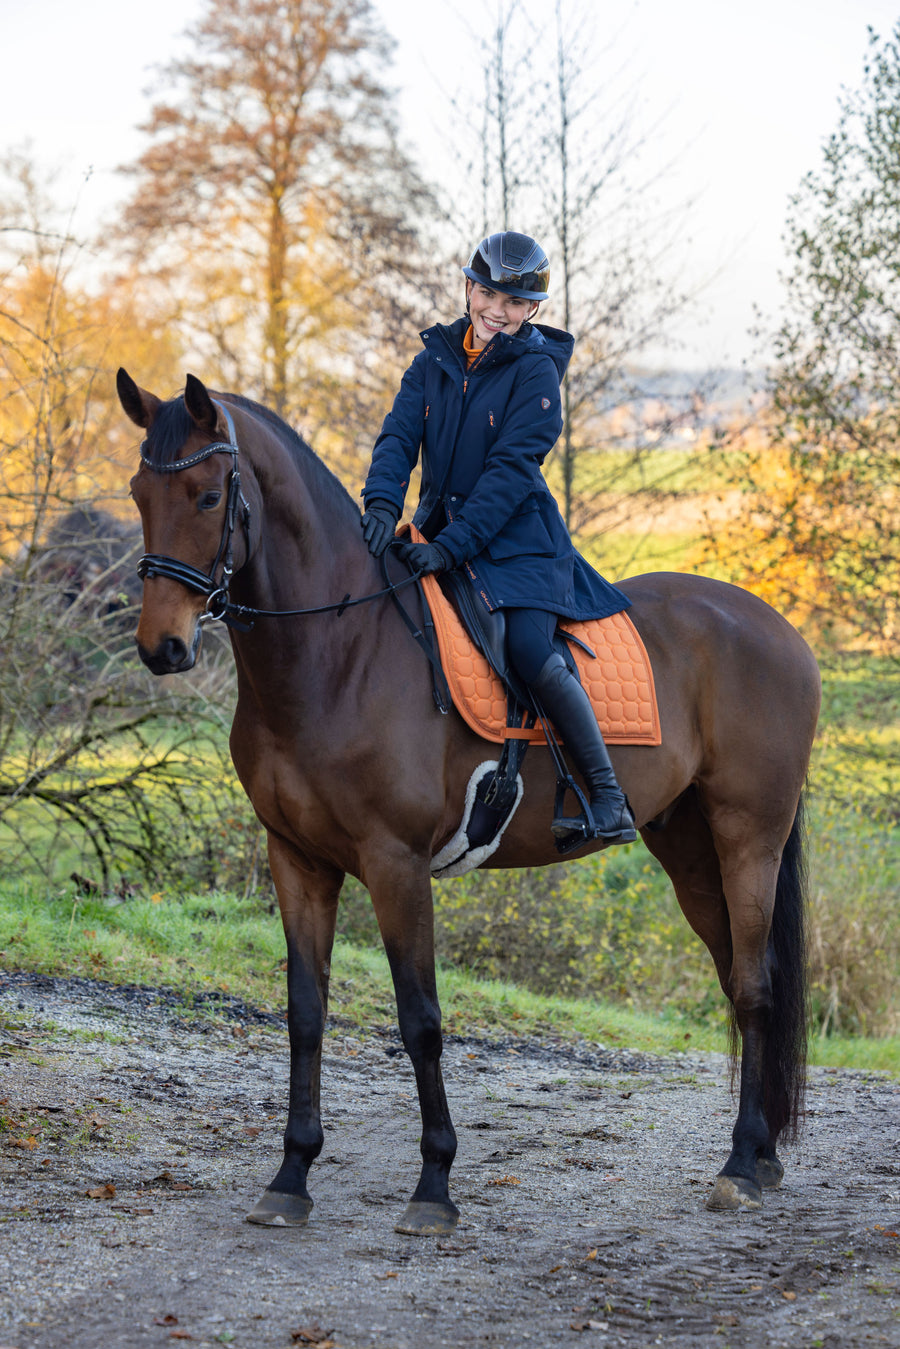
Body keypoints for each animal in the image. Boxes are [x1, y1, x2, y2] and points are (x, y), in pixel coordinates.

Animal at [117, 368, 821, 1234]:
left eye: (210, 495)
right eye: (140, 492)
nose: (163, 648)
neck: (335, 653)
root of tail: (778, 627)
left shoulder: (396, 864)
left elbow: (420, 1020)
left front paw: (433, 1184)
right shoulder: (298, 860)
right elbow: (305, 1012)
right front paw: (291, 1175)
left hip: (749, 836)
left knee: (755, 986)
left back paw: (741, 1165)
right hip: (689, 849)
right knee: (737, 978)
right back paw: (762, 1152)